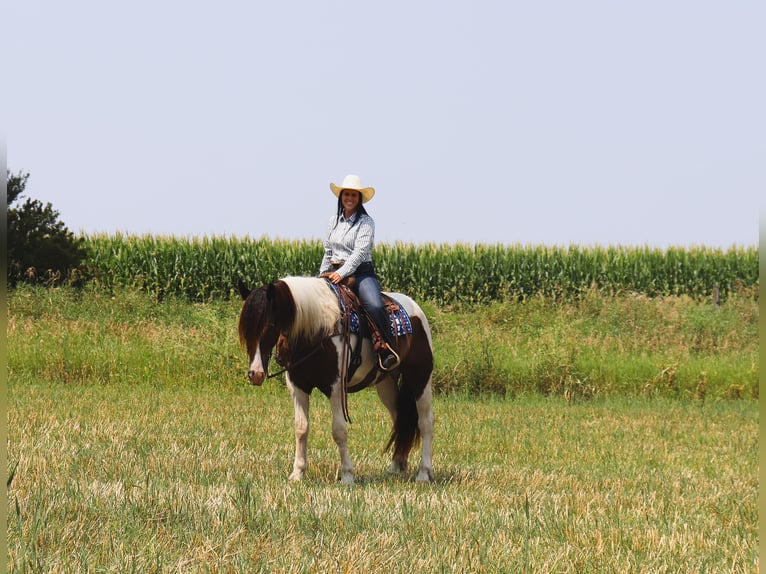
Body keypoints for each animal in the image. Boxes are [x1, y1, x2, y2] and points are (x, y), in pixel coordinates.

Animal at [237, 276, 436, 484]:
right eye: (245, 329)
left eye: (271, 325)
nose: (256, 374)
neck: (317, 330)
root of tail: (416, 310)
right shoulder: (297, 387)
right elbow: (301, 428)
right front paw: (297, 473)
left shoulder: (335, 388)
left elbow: (339, 431)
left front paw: (347, 475)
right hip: (386, 384)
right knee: (401, 420)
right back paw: (397, 466)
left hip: (421, 377)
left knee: (425, 422)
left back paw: (424, 473)